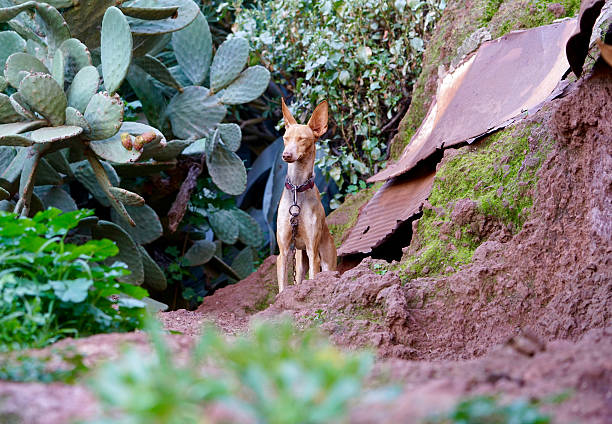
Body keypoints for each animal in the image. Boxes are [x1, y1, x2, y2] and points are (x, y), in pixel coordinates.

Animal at [278, 98, 340, 292]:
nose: (286, 155)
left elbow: (314, 278)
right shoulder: (283, 252)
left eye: (302, 139)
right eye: (285, 138)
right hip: (299, 262)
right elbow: (282, 287)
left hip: (326, 261)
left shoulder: (313, 253)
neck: (297, 189)